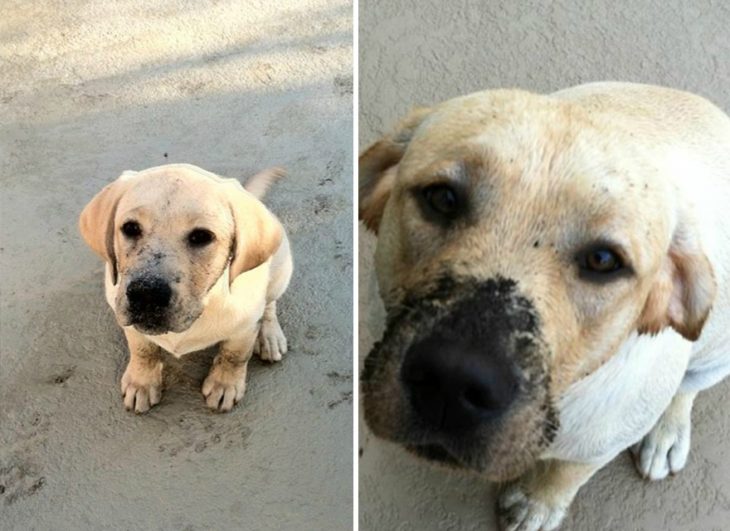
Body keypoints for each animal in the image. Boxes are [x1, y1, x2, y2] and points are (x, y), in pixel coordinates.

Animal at [81, 164, 292, 414]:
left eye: (202, 236)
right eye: (130, 228)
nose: (147, 295)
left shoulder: (245, 327)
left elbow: (234, 355)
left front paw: (224, 384)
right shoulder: (128, 320)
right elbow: (142, 350)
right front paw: (141, 382)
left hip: (281, 271)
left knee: (269, 305)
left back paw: (269, 336)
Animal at [358, 83, 728, 531]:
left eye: (604, 260)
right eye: (443, 198)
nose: (453, 380)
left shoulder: (596, 446)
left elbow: (567, 472)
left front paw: (539, 501)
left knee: (687, 389)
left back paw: (667, 433)